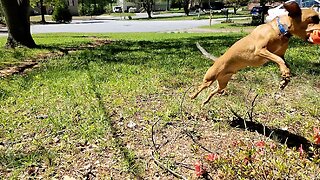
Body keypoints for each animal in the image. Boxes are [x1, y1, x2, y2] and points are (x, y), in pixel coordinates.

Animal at [190, 1, 320, 105]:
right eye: (314, 18)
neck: (279, 29)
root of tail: (217, 60)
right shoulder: (261, 50)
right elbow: (279, 60)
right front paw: (285, 74)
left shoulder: (280, 54)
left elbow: (283, 62)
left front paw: (285, 78)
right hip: (210, 77)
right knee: (201, 87)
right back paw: (193, 96)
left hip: (223, 82)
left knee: (215, 90)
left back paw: (205, 101)